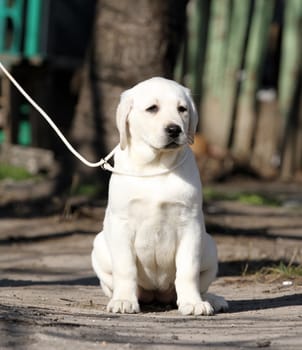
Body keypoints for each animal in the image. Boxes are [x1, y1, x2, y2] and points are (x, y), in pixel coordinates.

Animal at [91, 78, 228, 316]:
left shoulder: (190, 224)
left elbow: (188, 269)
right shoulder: (121, 223)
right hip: (99, 246)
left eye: (182, 109)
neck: (156, 165)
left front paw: (193, 302)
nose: (174, 129)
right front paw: (124, 300)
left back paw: (210, 298)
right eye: (152, 109)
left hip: (210, 246)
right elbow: (125, 268)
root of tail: (157, 295)